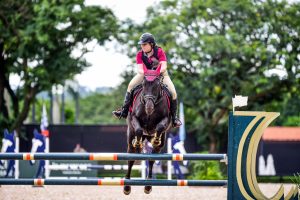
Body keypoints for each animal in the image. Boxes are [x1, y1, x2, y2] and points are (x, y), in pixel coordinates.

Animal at [123, 66, 171, 195]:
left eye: (157, 85)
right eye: (144, 84)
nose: (149, 108)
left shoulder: (166, 119)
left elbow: (160, 127)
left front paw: (156, 140)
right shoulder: (134, 118)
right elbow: (139, 129)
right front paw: (138, 142)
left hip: (158, 145)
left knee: (151, 159)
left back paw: (148, 185)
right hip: (130, 139)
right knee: (131, 158)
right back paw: (127, 186)